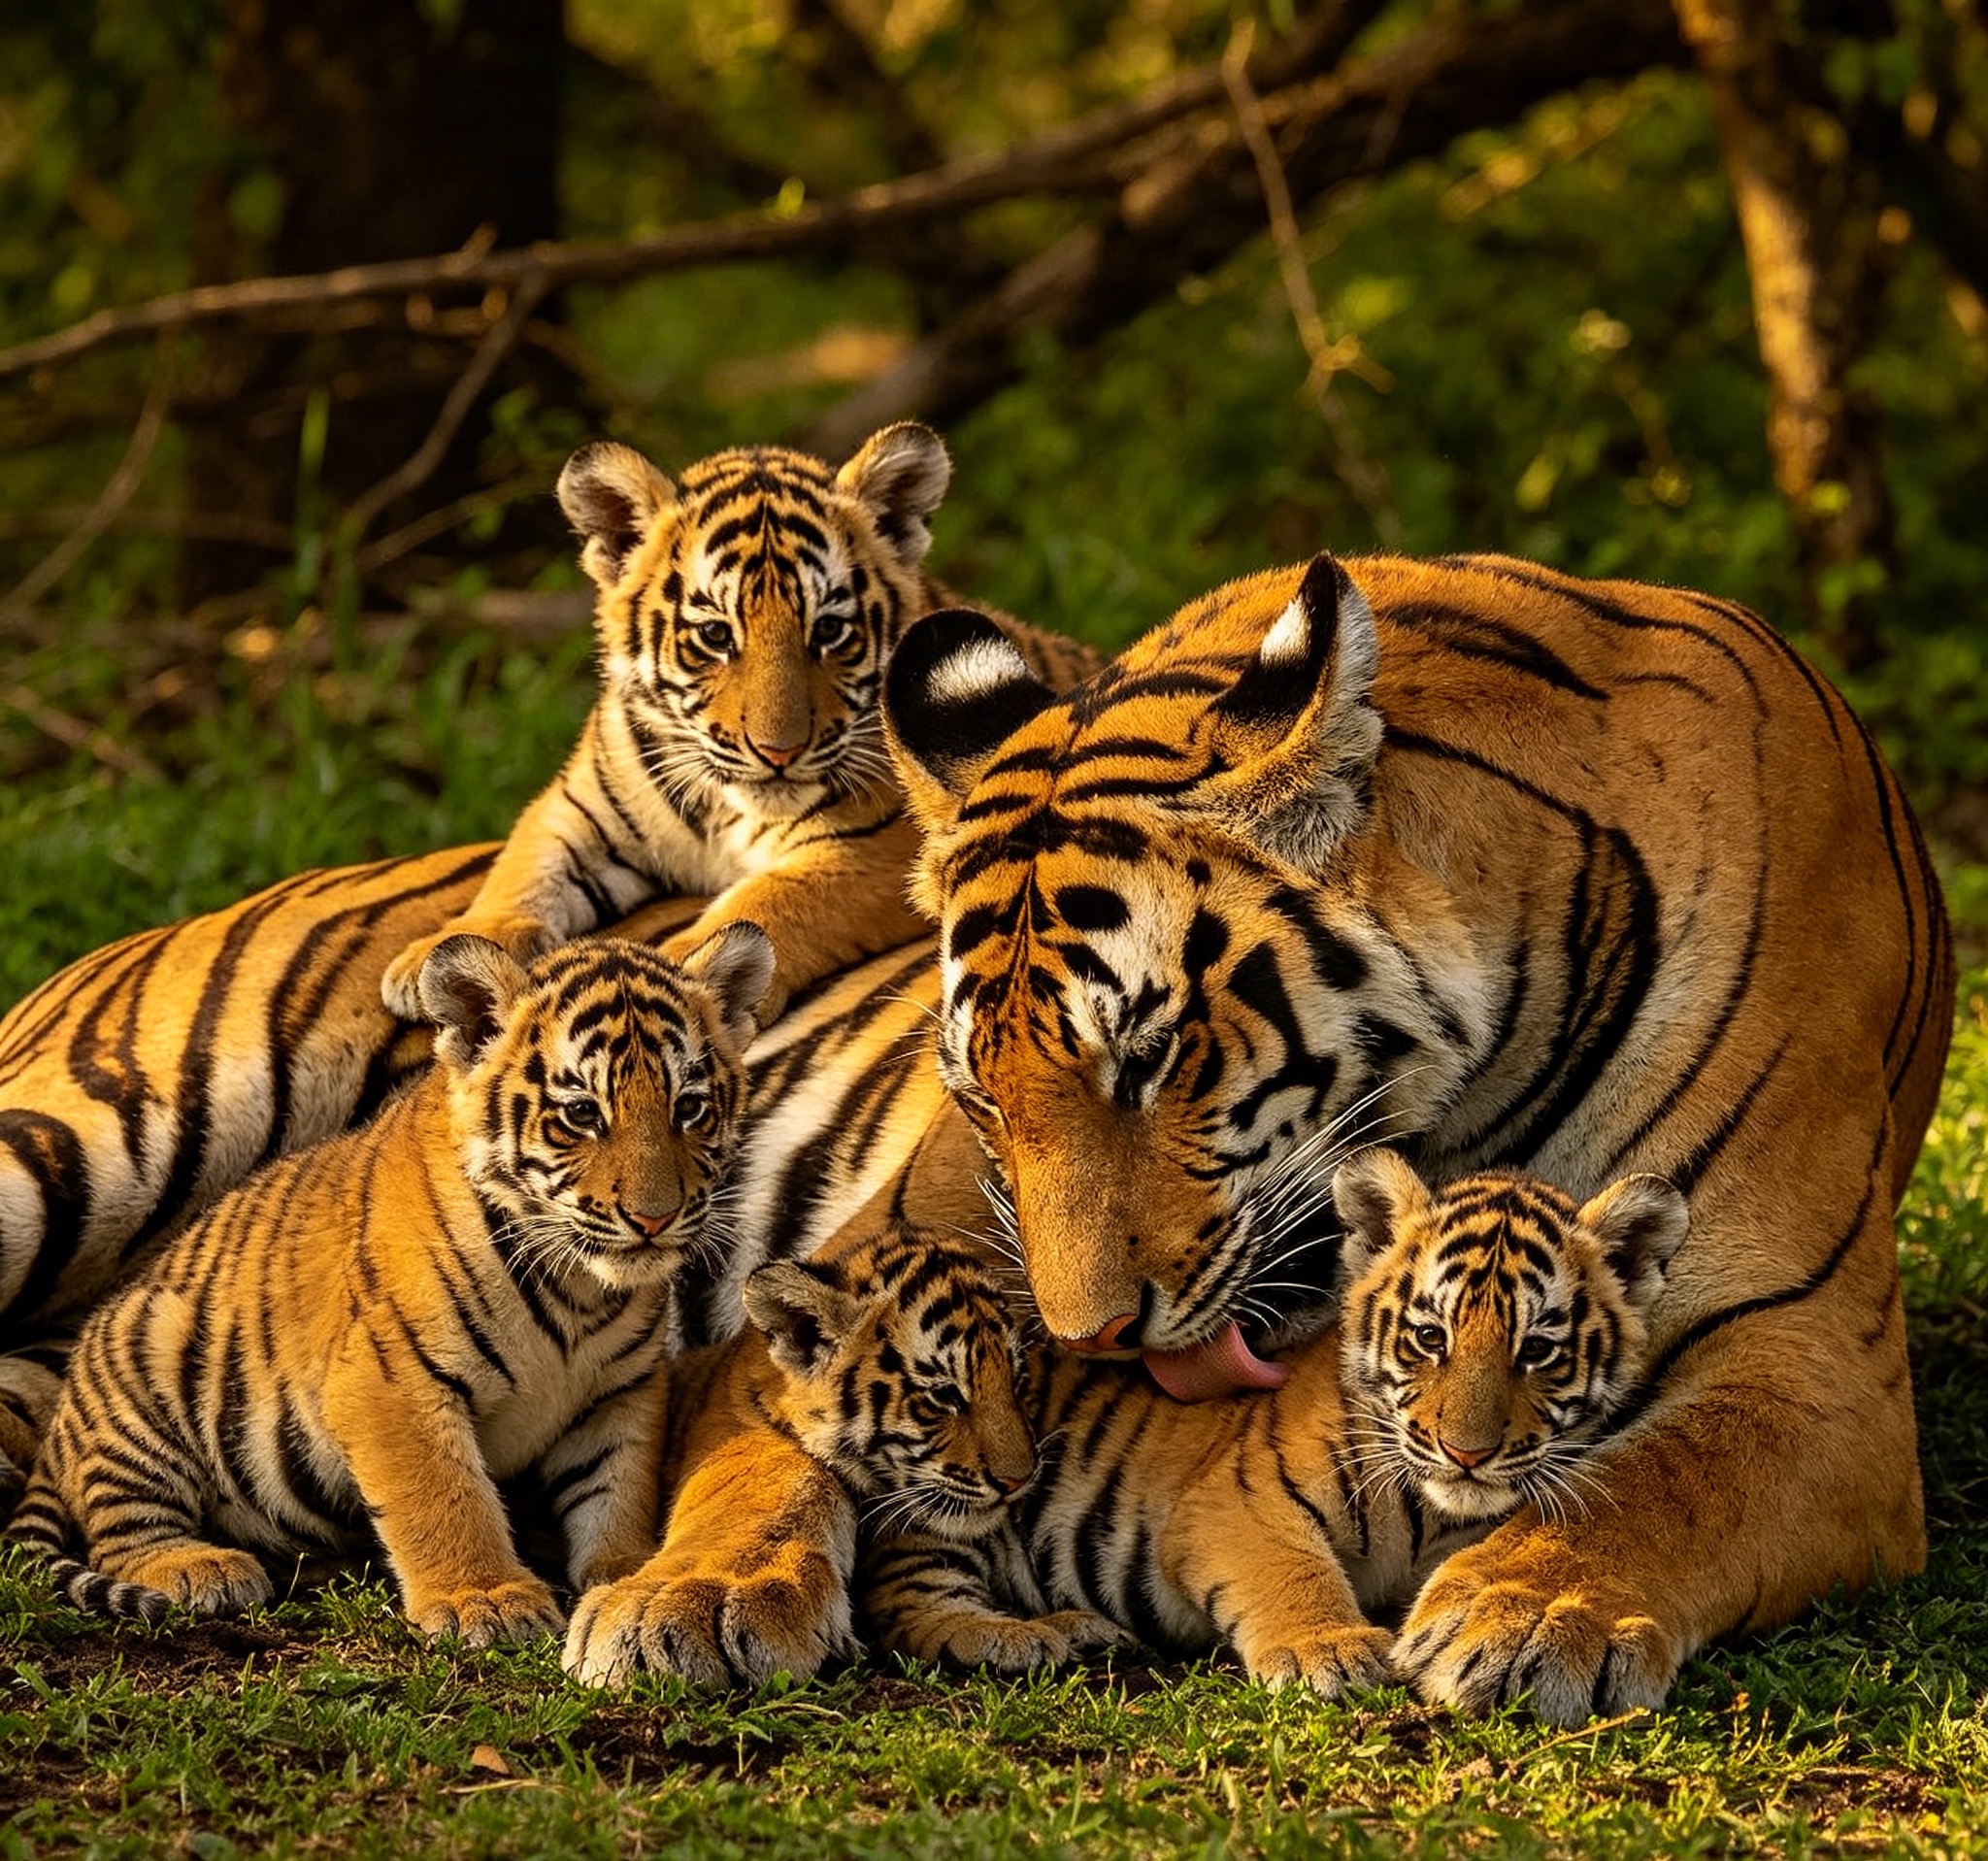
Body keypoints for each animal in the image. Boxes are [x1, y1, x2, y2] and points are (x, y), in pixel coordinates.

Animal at [6, 926, 770, 1643]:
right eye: (582, 1113)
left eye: (689, 1107)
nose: (654, 1217)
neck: (579, 1288)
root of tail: (61, 1428)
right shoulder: (392, 1380)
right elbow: (443, 1495)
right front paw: (483, 1599)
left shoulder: (620, 1392)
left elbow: (618, 1487)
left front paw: (623, 1570)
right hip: (151, 1359)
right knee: (120, 1524)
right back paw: (199, 1567)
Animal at [378, 424, 1099, 1029]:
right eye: (716, 636)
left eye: (829, 631)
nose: (780, 751)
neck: (722, 807)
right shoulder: (573, 811)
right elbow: (521, 873)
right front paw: (430, 957)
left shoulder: (876, 849)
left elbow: (773, 897)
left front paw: (691, 968)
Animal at [861, 1150, 1688, 1693]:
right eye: (1431, 1338)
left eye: (1537, 1349)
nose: (1467, 1452)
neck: (1432, 1510)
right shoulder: (1239, 1499)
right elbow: (1291, 1567)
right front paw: (1330, 1648)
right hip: (950, 1498)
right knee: (912, 1603)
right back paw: (1032, 1638)